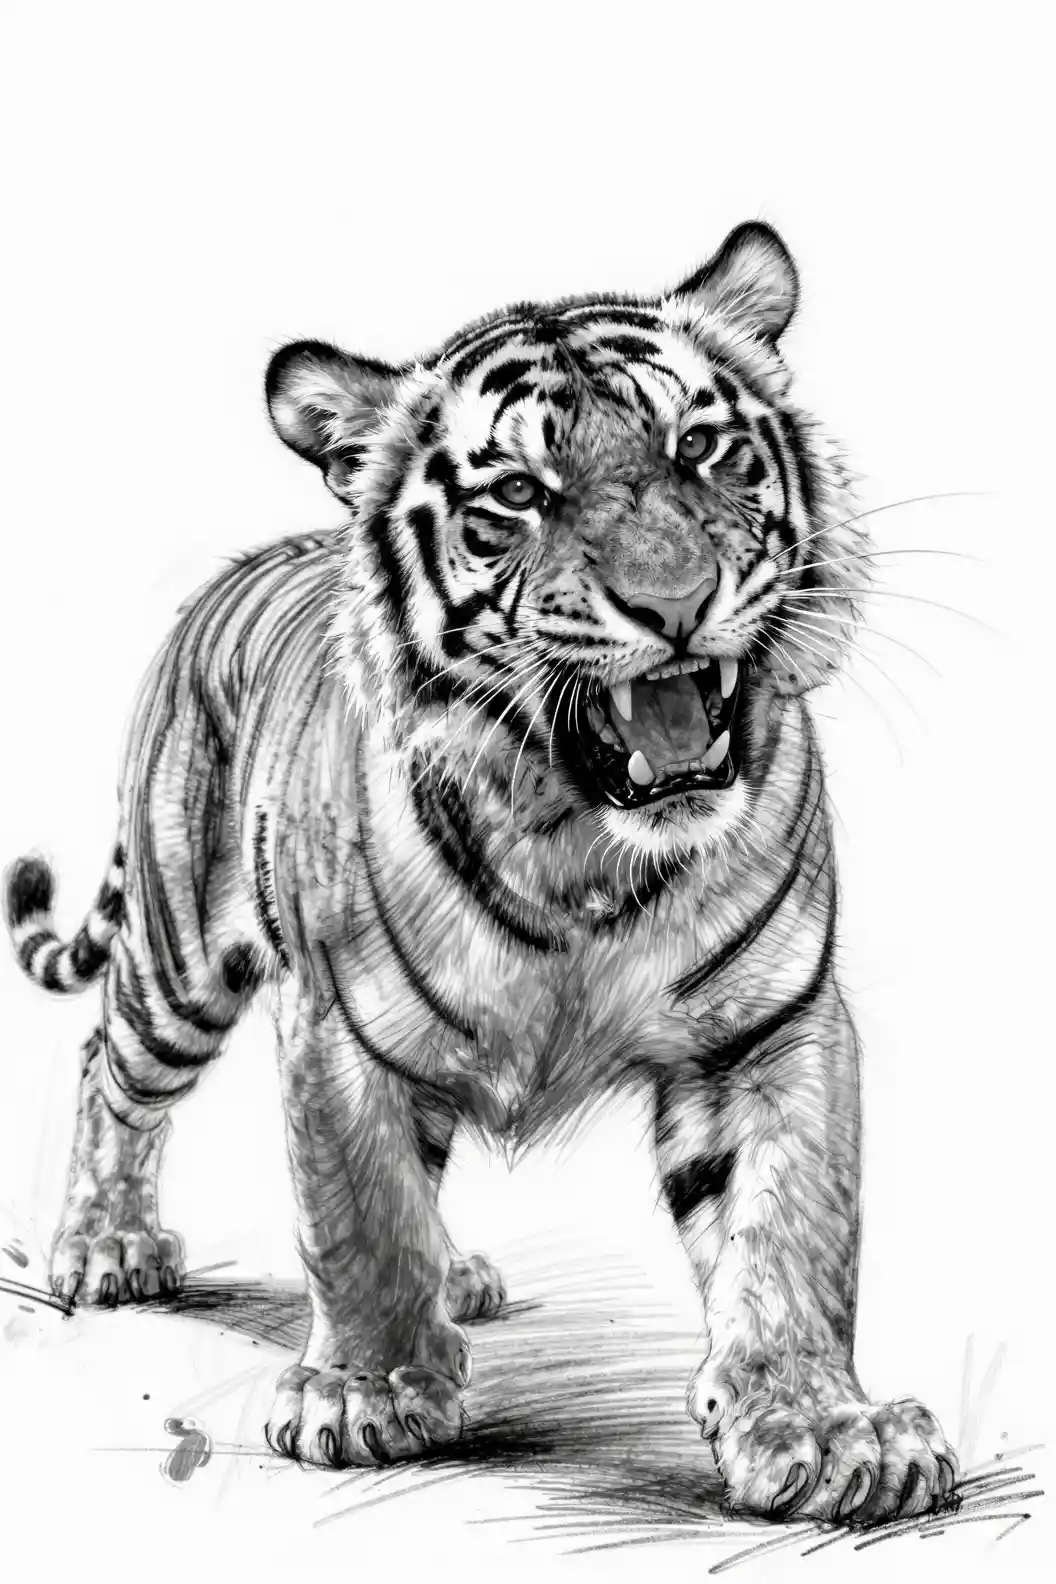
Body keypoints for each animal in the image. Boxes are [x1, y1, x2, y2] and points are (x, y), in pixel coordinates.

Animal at [5, 221, 959, 1524]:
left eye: (700, 448)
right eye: (518, 494)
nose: (674, 603)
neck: (581, 845)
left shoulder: (771, 1028)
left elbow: (788, 1235)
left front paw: (822, 1429)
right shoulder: (339, 1031)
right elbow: (357, 1213)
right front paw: (368, 1393)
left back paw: (456, 1276)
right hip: (178, 956)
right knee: (110, 1061)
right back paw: (106, 1248)